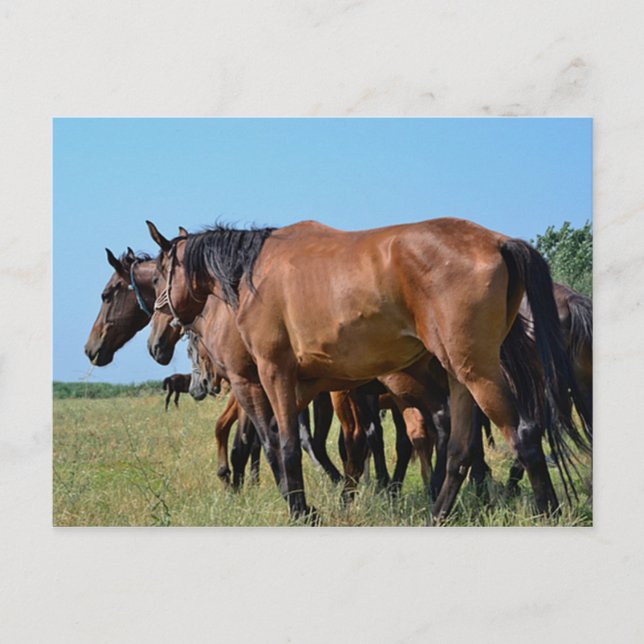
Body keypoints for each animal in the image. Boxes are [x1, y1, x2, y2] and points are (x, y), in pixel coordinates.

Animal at [146, 218, 586, 522]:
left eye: (160, 274)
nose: (155, 342)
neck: (255, 275)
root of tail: (497, 241)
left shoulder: (273, 376)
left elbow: (284, 445)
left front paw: (302, 512)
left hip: (476, 373)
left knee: (523, 434)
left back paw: (545, 513)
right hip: (458, 375)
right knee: (460, 448)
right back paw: (436, 515)